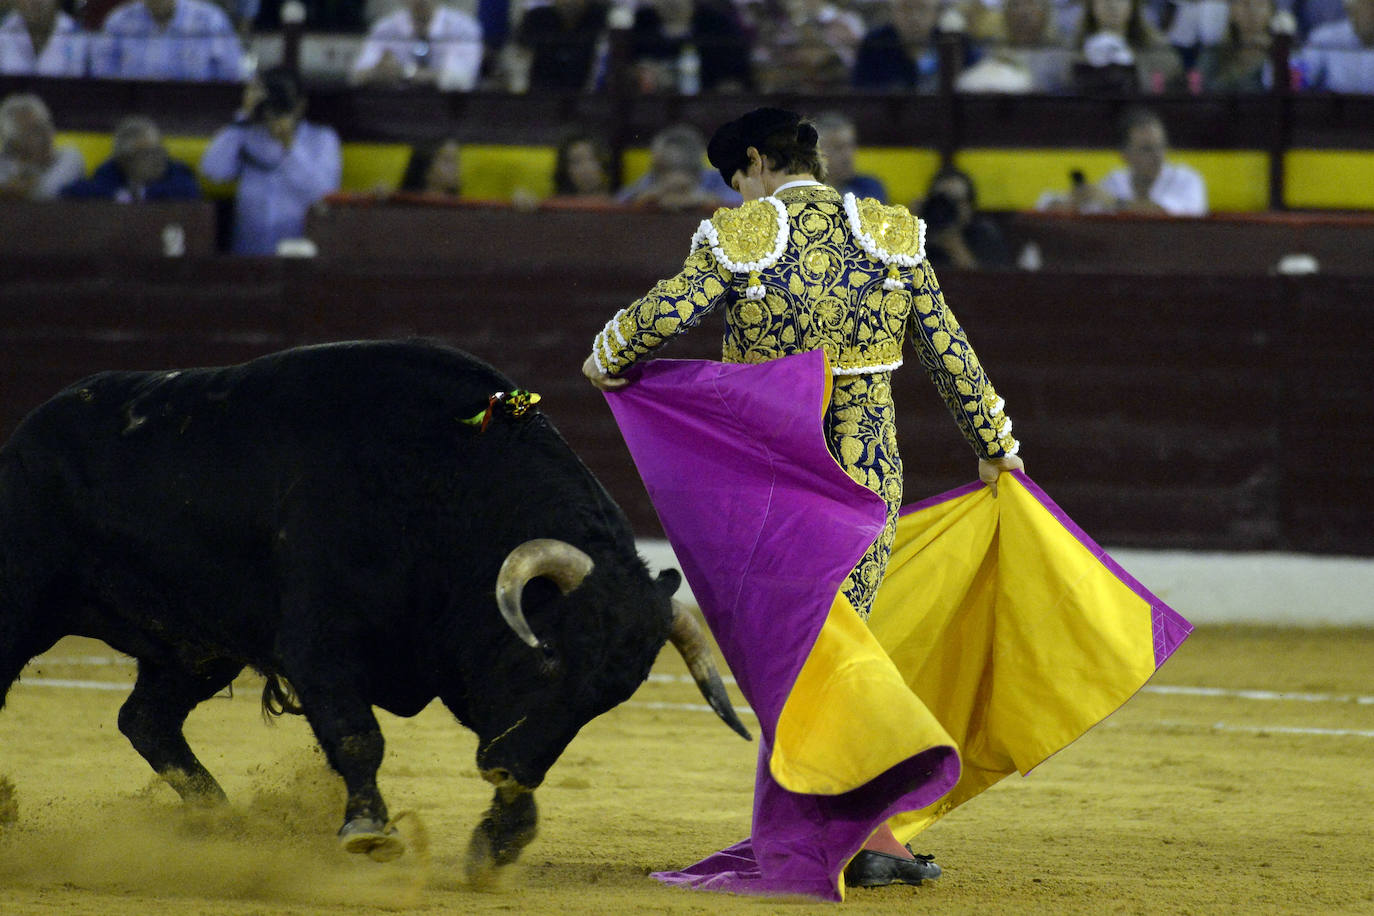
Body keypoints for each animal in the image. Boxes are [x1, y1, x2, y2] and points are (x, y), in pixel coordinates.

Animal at [0, 340, 752, 878]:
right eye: (549, 662)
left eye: (607, 698)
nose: (512, 770)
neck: (443, 488)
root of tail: (29, 432)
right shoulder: (319, 645)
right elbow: (358, 735)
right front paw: (369, 831)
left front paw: (499, 842)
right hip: (24, 605)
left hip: (197, 648)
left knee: (146, 719)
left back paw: (226, 823)